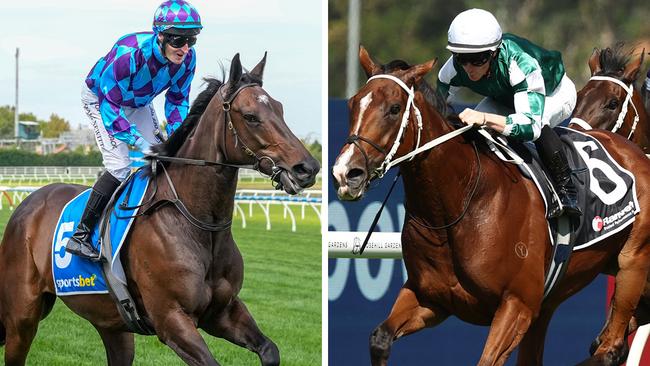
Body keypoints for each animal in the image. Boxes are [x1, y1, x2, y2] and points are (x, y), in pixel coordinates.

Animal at [0, 52, 318, 366]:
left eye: (280, 109)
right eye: (251, 117)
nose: (308, 168)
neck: (196, 222)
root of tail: (28, 204)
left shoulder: (223, 311)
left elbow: (270, 350)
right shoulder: (171, 320)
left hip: (113, 326)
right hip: (22, 317)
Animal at [334, 46, 650, 366]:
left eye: (395, 108)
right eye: (353, 103)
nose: (346, 172)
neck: (458, 204)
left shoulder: (517, 305)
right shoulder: (431, 298)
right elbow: (380, 338)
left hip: (632, 264)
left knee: (609, 348)